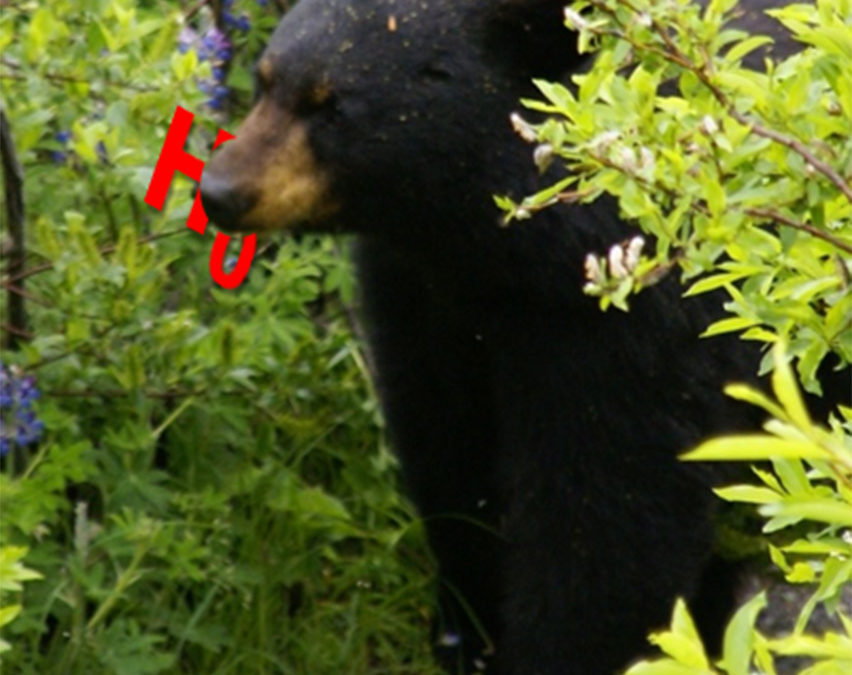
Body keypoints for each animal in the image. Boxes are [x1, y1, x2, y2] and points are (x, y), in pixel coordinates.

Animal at [199, 1, 802, 672]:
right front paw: (467, 628)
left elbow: (612, 514)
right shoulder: (426, 293)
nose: (220, 191)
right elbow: (447, 448)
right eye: (266, 80)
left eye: (332, 106)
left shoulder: (633, 316)